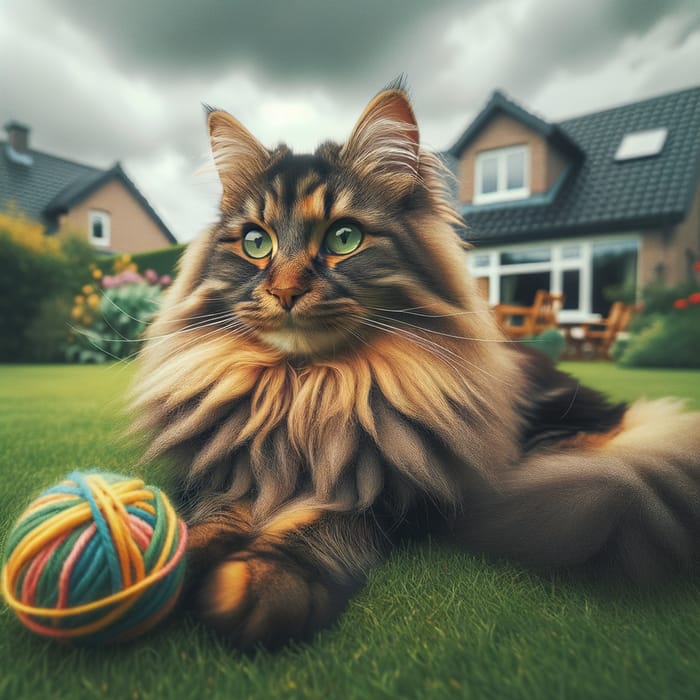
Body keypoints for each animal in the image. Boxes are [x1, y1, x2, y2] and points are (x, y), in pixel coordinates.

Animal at [134, 79, 700, 648]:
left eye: (343, 238)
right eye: (256, 242)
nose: (285, 291)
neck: (308, 388)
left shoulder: (397, 496)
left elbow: (323, 525)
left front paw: (267, 580)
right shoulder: (219, 473)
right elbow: (212, 515)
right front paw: (171, 566)